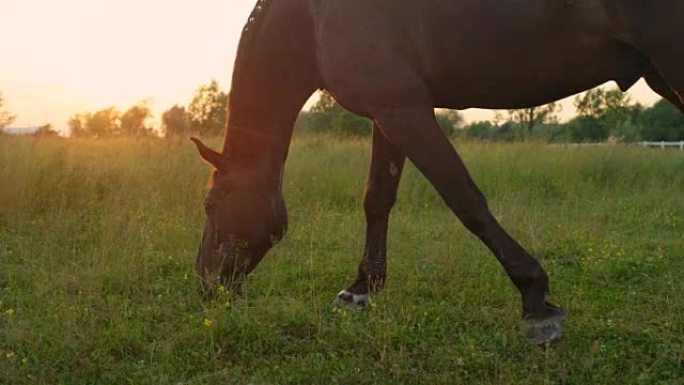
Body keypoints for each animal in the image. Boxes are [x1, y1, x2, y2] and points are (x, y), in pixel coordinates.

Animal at [190, 0, 684, 342]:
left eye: (210, 204)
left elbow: (464, 199)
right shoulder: (389, 110)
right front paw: (360, 289)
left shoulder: (407, 111)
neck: (313, 17)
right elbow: (377, 198)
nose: (206, 284)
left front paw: (536, 301)